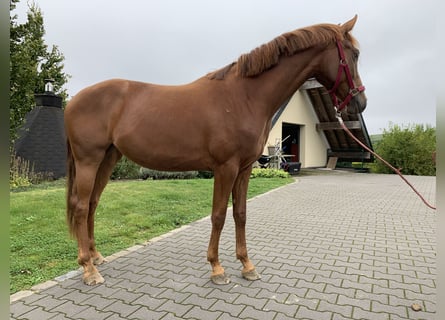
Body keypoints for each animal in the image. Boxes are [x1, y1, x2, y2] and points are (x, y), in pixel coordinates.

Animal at [65, 15, 364, 284]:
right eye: (356, 54)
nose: (360, 102)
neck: (244, 97)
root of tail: (74, 100)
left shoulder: (244, 168)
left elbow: (240, 214)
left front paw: (247, 265)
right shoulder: (225, 167)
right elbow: (219, 215)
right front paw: (217, 268)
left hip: (108, 158)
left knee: (92, 204)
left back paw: (96, 257)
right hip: (88, 160)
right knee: (80, 206)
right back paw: (89, 270)